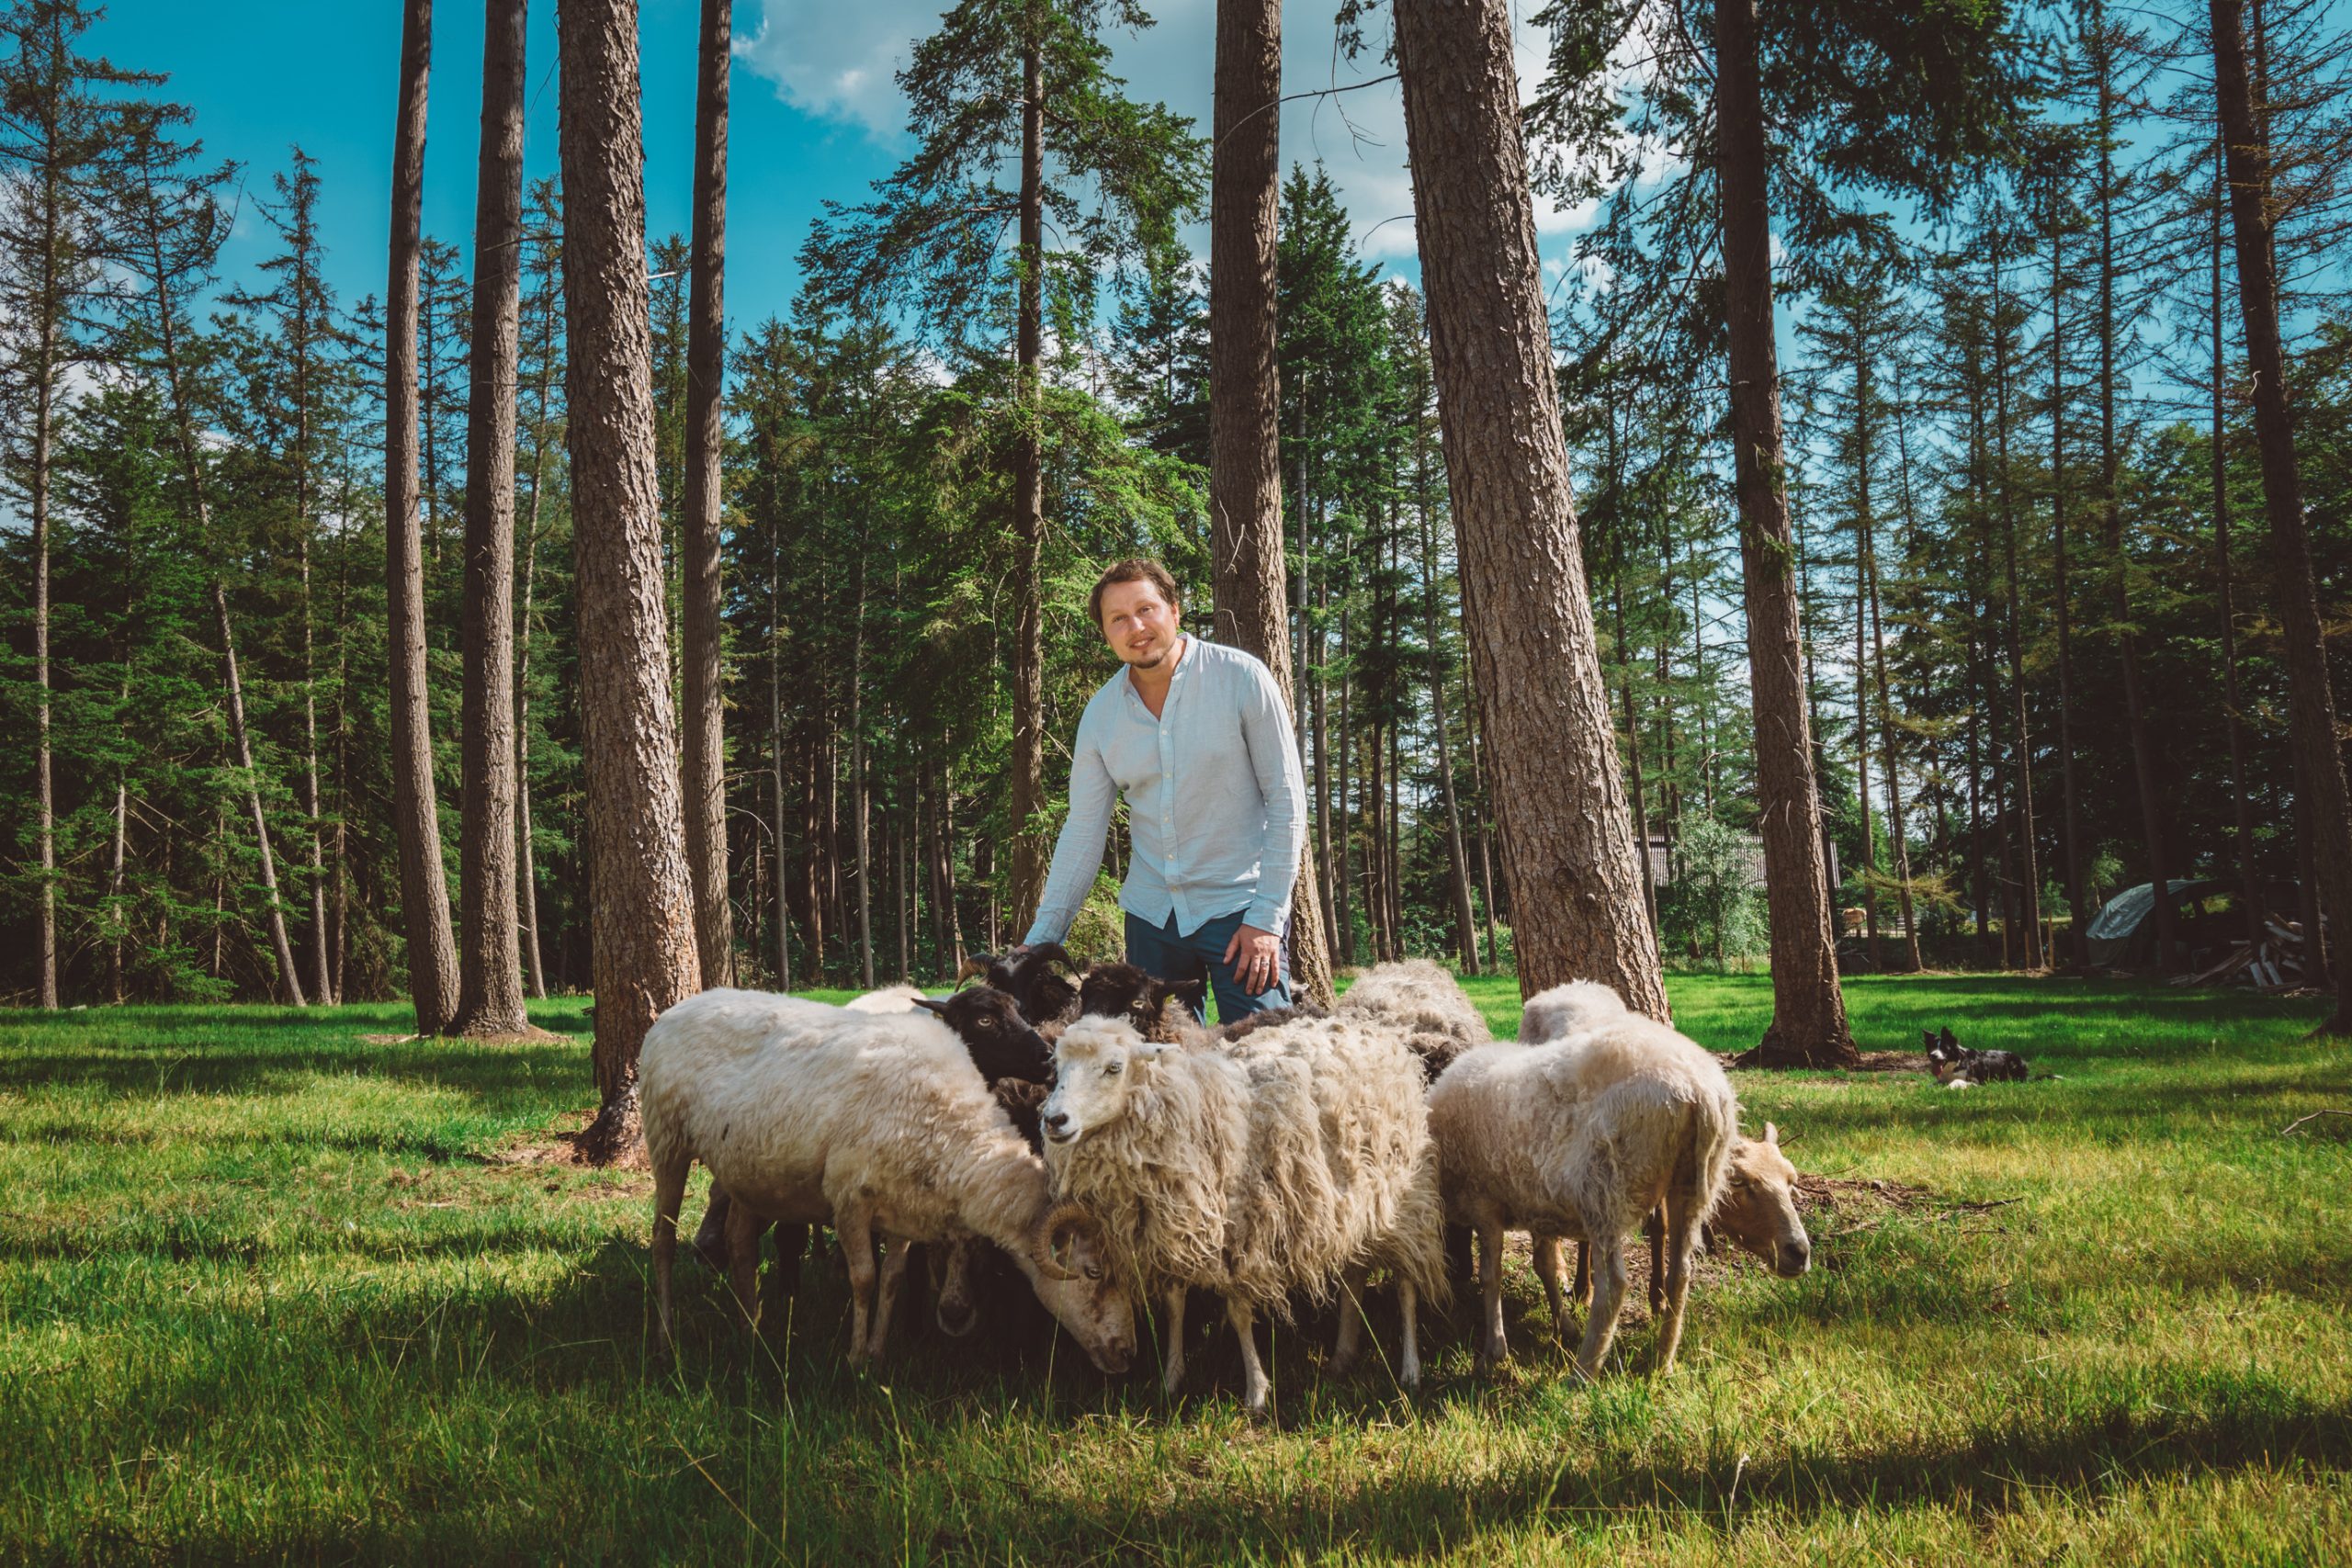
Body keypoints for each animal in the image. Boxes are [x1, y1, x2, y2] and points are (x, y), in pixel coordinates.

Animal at [635, 991, 1128, 1372]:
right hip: (666, 1140)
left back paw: (750, 1328)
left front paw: (877, 1351)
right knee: (662, 1240)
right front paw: (855, 1359)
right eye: (1094, 1271)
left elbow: (891, 1279)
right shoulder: (850, 1201)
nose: (1127, 1351)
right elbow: (865, 1279)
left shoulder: (902, 1208)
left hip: (745, 1170)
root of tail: (676, 1009)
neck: (950, 1124)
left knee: (739, 1240)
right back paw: (664, 1338)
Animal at [1039, 1010, 1439, 1419]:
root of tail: (1377, 1032)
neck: (1186, 1111)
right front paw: (1171, 1379)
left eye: (1113, 1067)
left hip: (1405, 1202)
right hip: (1351, 1207)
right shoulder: (1174, 1231)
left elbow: (1239, 1314)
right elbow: (1175, 1306)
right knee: (1353, 1275)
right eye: (1056, 1067)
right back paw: (1342, 1356)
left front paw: (1256, 1392)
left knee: (1406, 1285)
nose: (1054, 1119)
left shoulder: (1241, 1235)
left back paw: (1410, 1370)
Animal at [1420, 1001, 1740, 1382]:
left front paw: (1493, 1352)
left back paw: (1585, 1370)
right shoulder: (1534, 1204)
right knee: (1681, 1273)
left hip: (1606, 1191)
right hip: (1691, 1184)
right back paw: (1662, 1362)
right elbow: (1543, 1265)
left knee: (1614, 1285)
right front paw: (1563, 1324)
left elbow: (1491, 1276)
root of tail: (1698, 1091)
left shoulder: (1485, 1203)